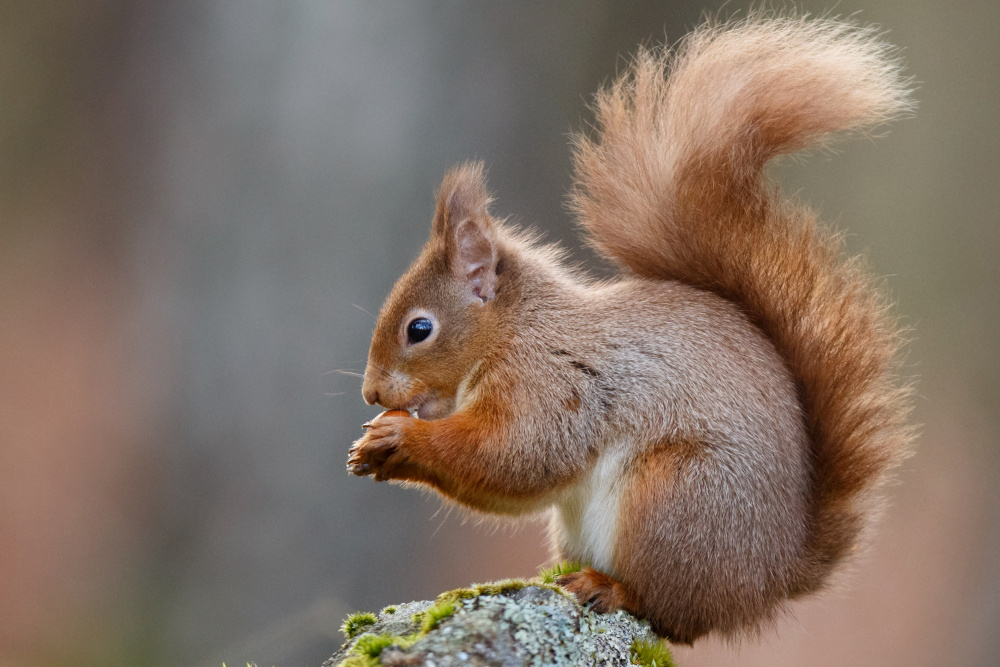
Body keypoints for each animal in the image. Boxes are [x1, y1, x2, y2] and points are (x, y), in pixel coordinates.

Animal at [346, 14, 916, 640]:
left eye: (418, 329)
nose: (372, 393)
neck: (517, 332)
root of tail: (769, 579)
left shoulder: (554, 387)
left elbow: (515, 456)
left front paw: (398, 440)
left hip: (674, 499)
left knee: (672, 613)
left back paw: (608, 587)